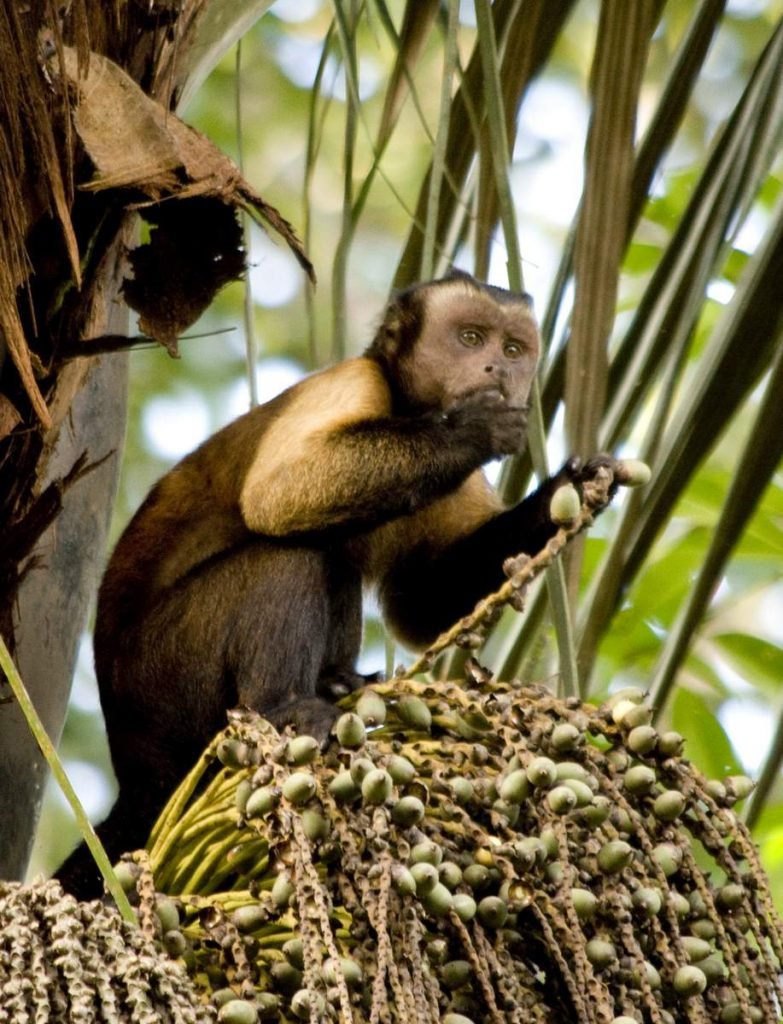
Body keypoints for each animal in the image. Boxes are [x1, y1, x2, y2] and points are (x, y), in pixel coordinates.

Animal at [55, 270, 618, 897]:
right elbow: (279, 497)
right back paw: (284, 709)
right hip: (162, 677)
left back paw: (335, 682)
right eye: (471, 338)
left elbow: (419, 604)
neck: (408, 404)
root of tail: (132, 768)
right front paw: (473, 430)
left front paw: (569, 489)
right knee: (289, 552)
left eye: (514, 349)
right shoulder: (356, 383)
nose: (498, 369)